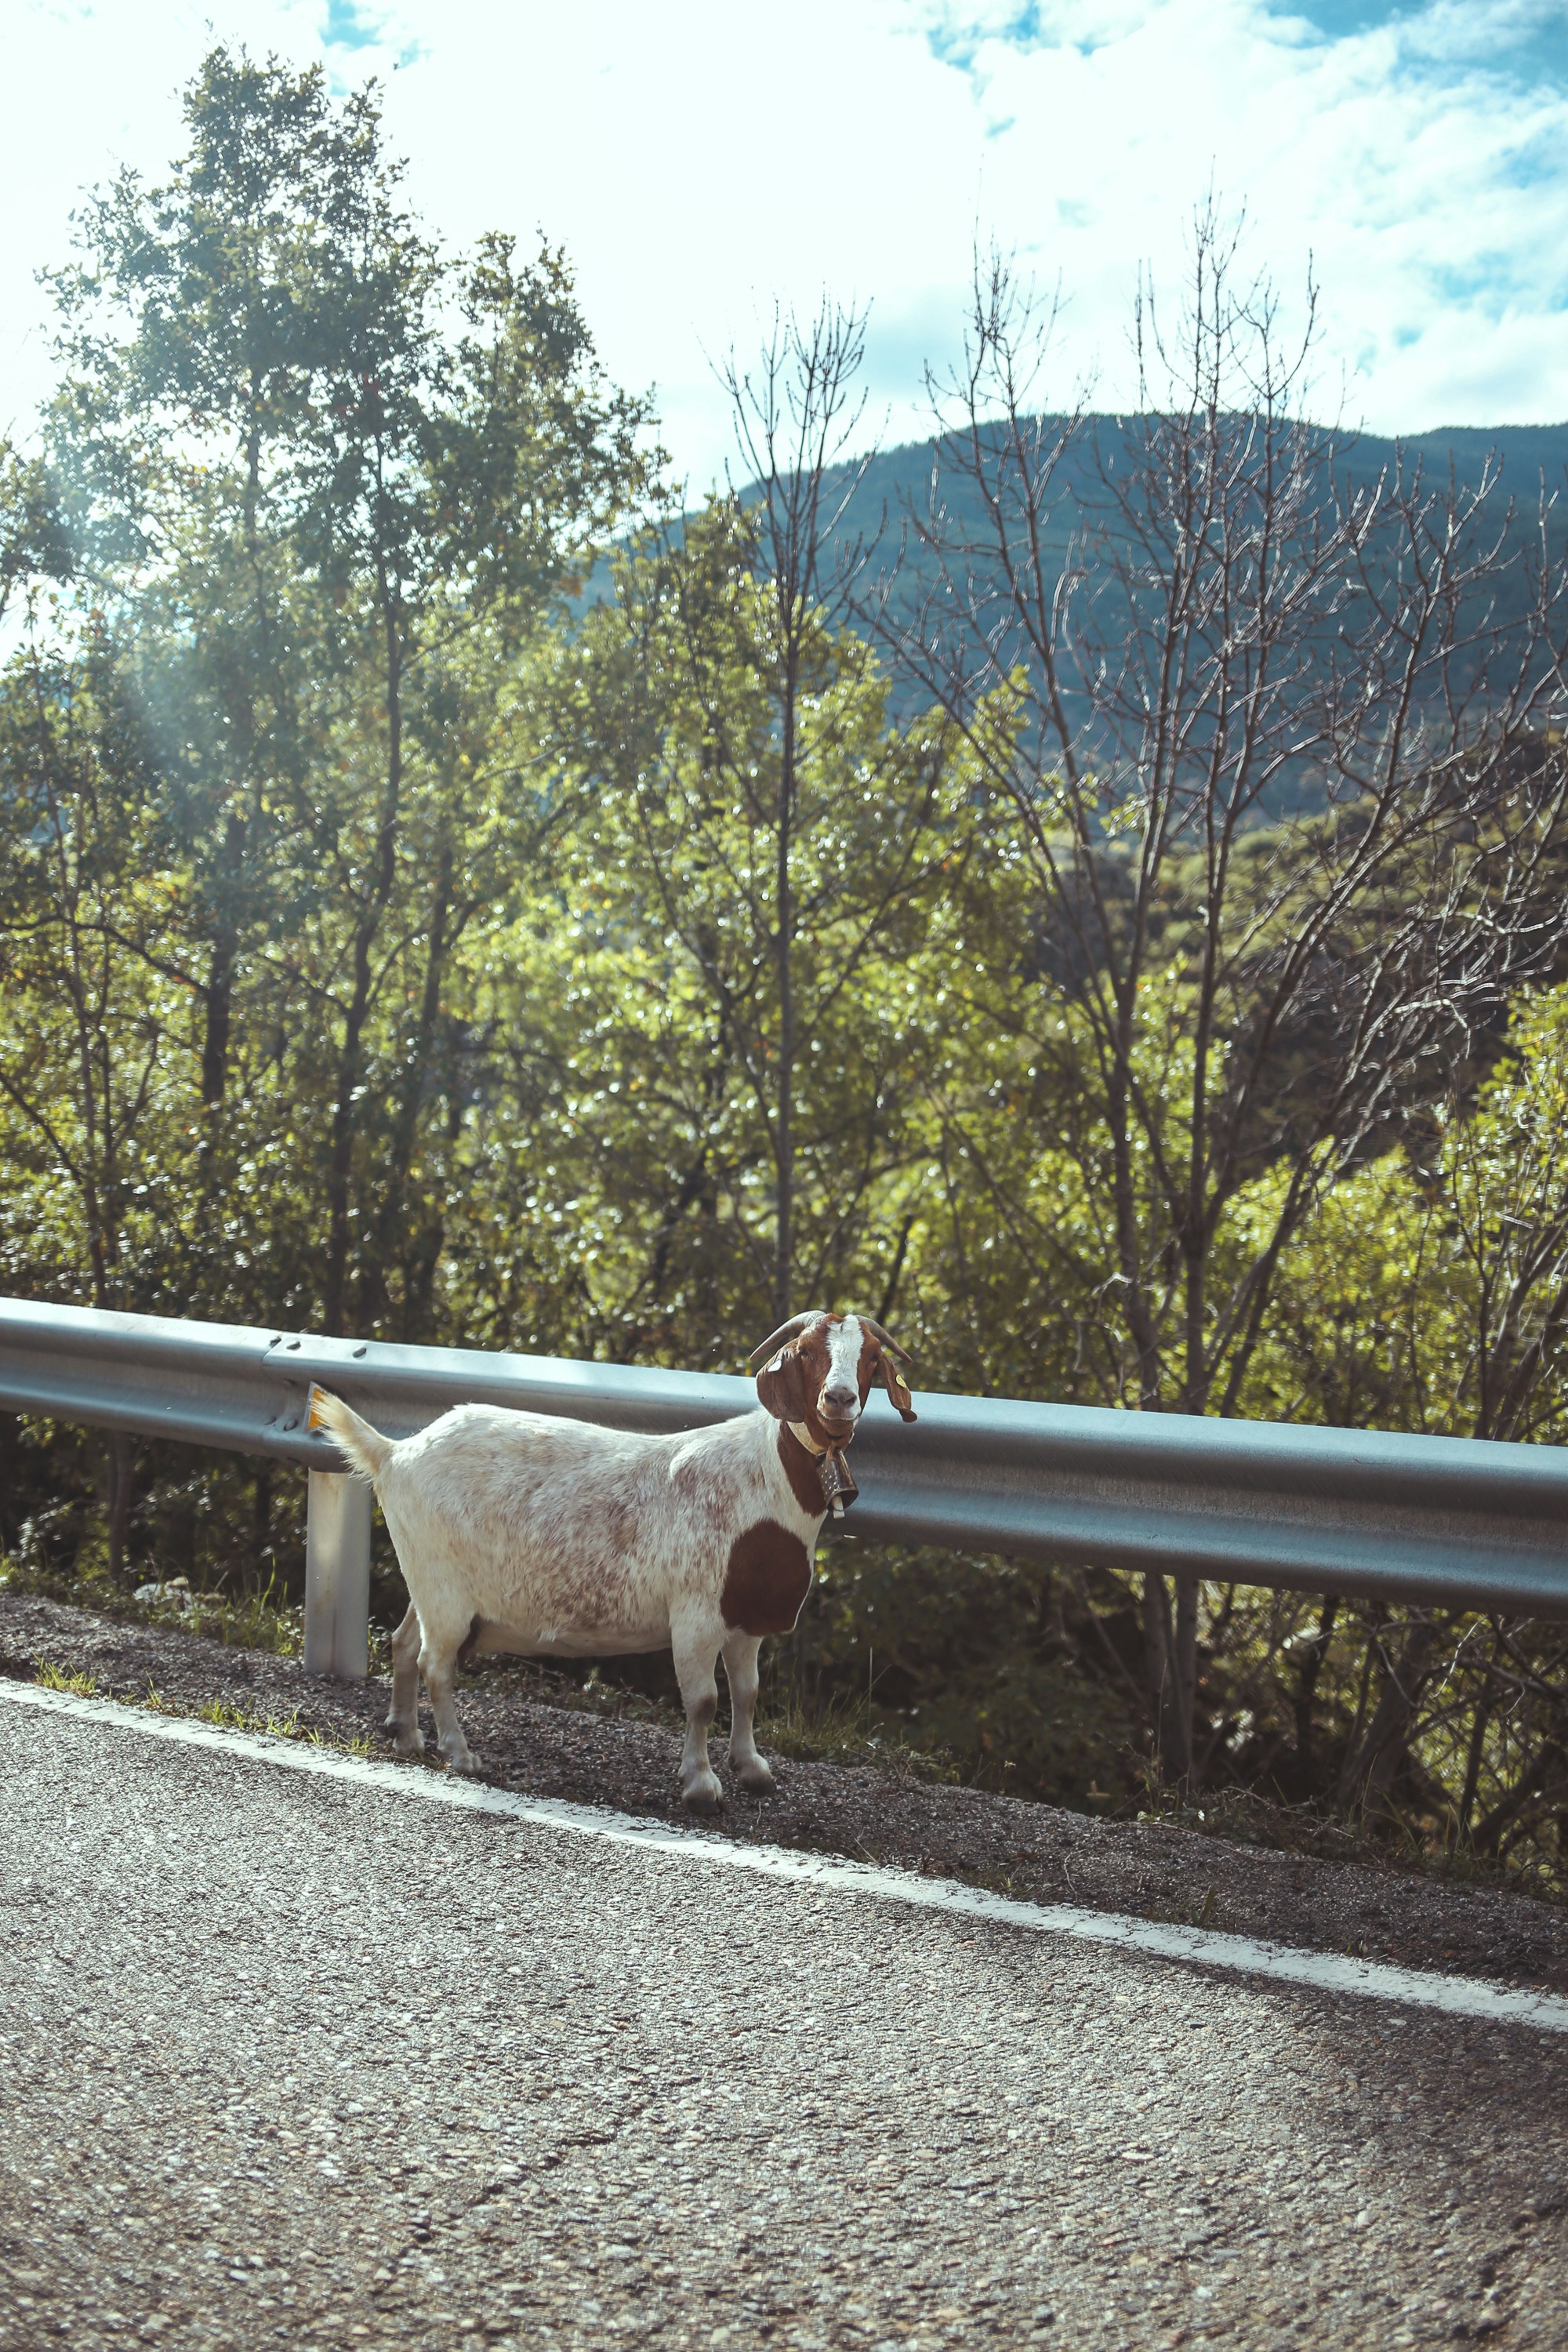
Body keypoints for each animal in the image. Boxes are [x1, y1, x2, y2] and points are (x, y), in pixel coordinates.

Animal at [307, 1310, 916, 1810]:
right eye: (808, 1353)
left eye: (869, 1358)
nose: (839, 1400)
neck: (767, 1480)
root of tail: (395, 1452)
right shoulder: (695, 1613)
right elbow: (703, 1701)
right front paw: (701, 1786)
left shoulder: (745, 1618)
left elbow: (747, 1694)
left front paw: (753, 1770)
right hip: (445, 1592)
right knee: (436, 1663)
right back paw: (460, 1753)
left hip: (432, 1581)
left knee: (404, 1642)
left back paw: (408, 1735)